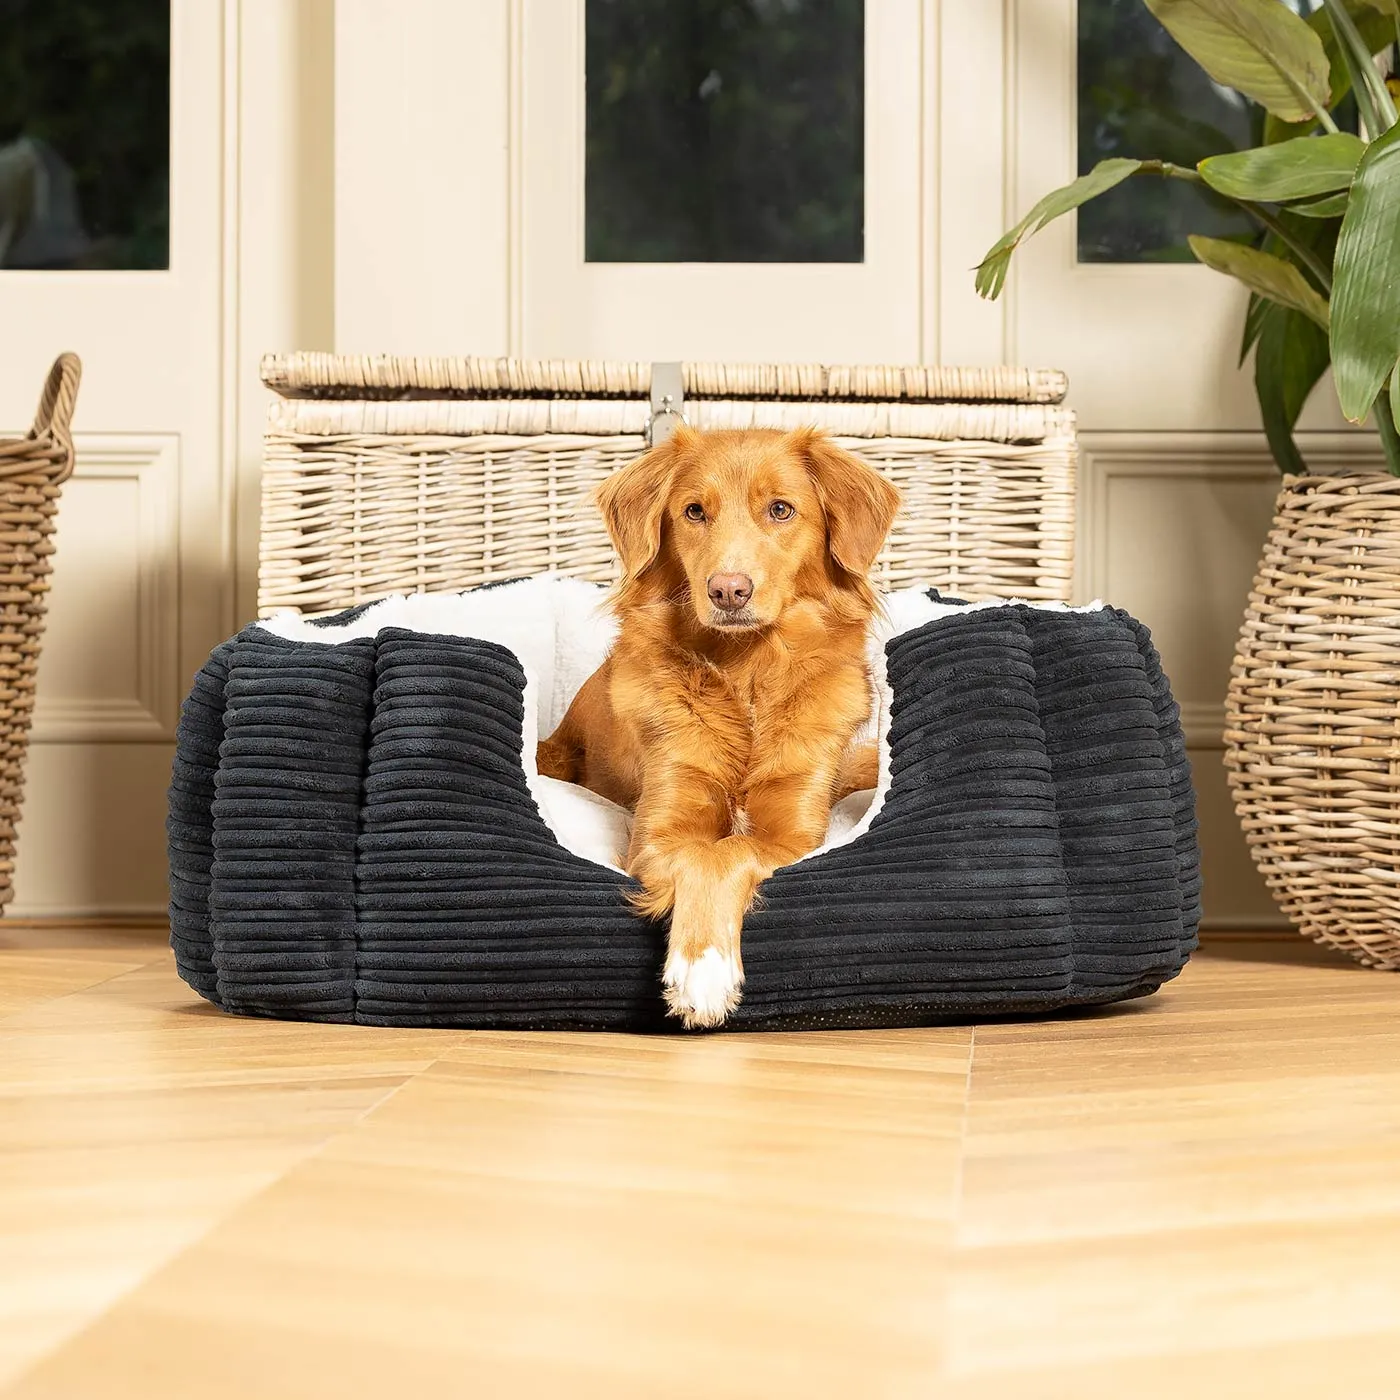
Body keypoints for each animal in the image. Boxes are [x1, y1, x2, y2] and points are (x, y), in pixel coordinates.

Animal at [534, 425, 896, 1030]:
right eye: (694, 511)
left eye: (781, 509)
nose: (728, 590)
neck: (746, 671)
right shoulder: (656, 836)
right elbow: (706, 852)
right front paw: (701, 970)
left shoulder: (796, 836)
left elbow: (731, 850)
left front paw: (704, 969)